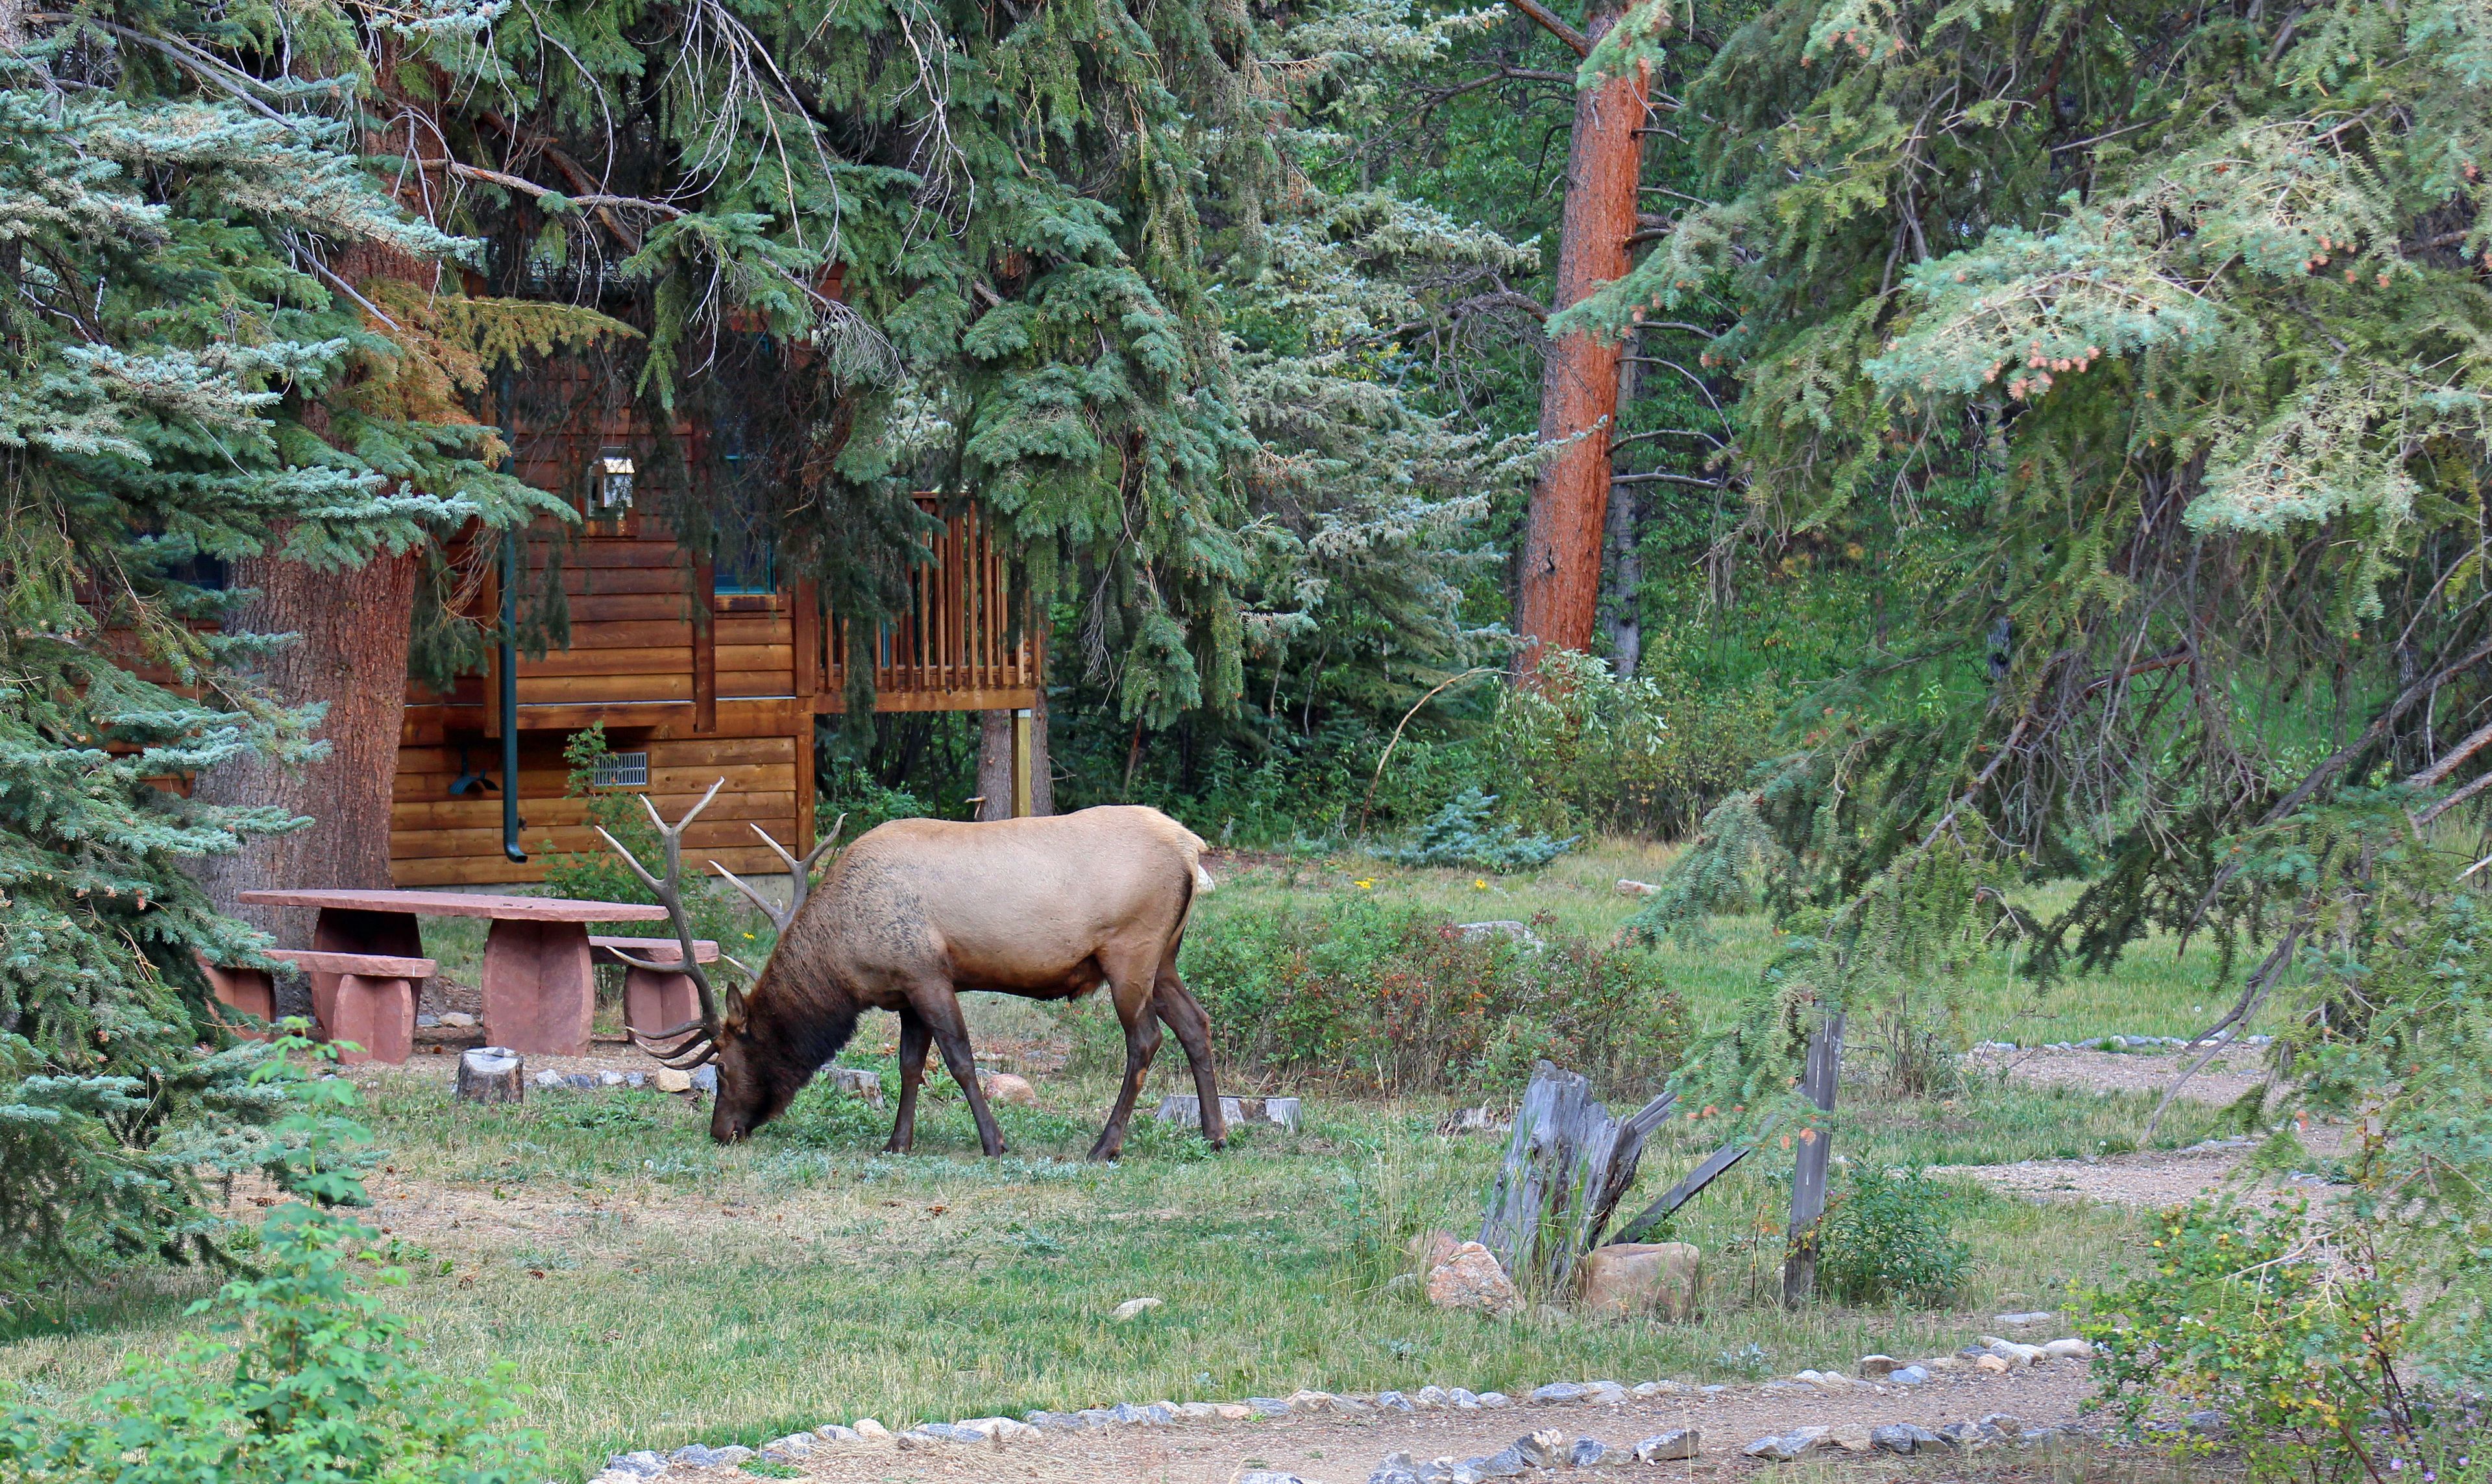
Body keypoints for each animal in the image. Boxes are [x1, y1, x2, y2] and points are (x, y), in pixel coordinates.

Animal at [598, 780, 1228, 1160]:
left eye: (724, 1067)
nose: (721, 1131)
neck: (845, 960)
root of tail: (1191, 846)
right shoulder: (903, 991)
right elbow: (908, 1066)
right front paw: (897, 1142)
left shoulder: (928, 973)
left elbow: (960, 1060)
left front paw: (994, 1142)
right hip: (1164, 957)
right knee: (1196, 1024)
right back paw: (1215, 1133)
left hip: (1130, 950)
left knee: (1145, 1039)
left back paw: (1105, 1146)